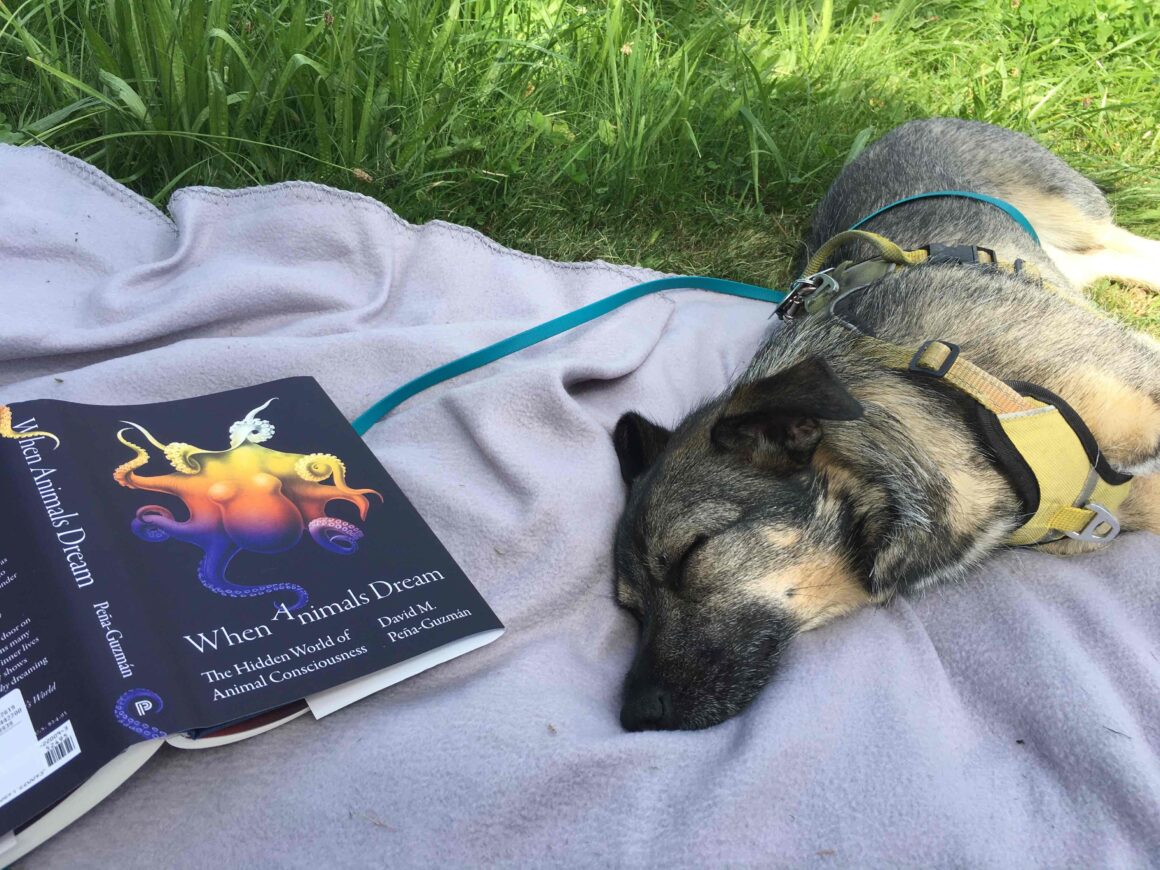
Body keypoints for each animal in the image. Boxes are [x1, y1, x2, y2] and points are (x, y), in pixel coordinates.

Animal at [611, 118, 1160, 731]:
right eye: (630, 608)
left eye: (692, 553)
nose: (633, 714)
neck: (952, 409)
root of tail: (911, 121)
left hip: (1075, 211)